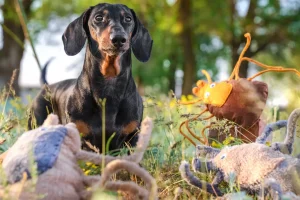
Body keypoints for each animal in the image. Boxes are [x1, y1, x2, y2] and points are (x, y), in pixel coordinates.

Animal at [28, 3, 152, 152]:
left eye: (128, 19)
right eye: (98, 17)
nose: (119, 38)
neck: (109, 83)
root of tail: (47, 86)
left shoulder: (132, 137)